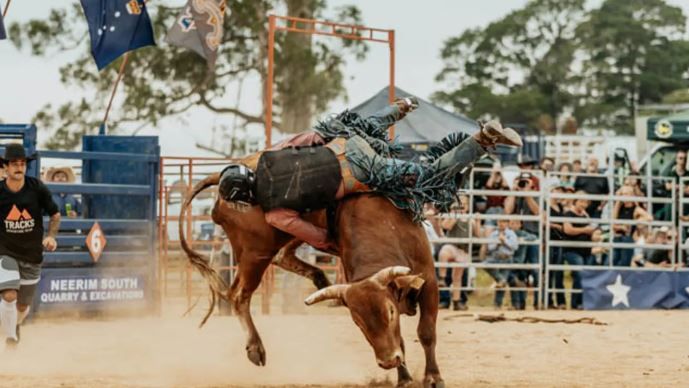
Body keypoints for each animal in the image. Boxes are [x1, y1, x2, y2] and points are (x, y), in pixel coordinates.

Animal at [180, 153, 444, 386]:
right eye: (357, 321)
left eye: (390, 312)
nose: (388, 362)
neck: (380, 220)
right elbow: (406, 338)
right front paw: (407, 378)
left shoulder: (429, 279)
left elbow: (426, 332)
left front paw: (431, 378)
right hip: (255, 252)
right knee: (238, 295)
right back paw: (255, 347)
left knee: (281, 256)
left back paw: (320, 280)